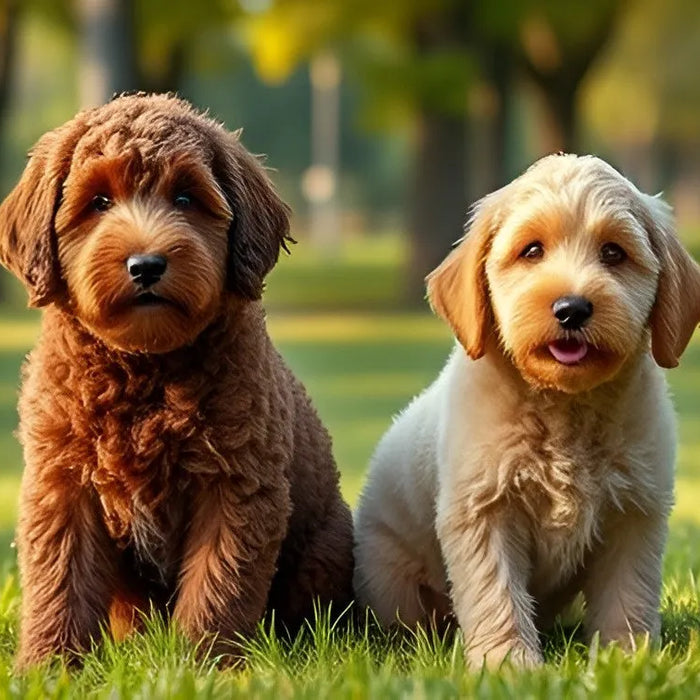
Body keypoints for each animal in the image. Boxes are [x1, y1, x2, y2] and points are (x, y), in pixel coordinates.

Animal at [0, 91, 356, 668]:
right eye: (99, 202)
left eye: (186, 198)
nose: (146, 264)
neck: (144, 369)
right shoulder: (64, 485)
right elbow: (61, 581)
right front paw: (49, 666)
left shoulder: (235, 486)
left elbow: (218, 582)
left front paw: (205, 664)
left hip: (324, 554)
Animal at [356, 153, 700, 668]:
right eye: (531, 251)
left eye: (614, 253)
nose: (572, 308)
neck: (565, 407)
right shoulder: (484, 512)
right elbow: (496, 594)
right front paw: (508, 665)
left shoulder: (635, 514)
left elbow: (628, 593)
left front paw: (624, 657)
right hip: (389, 581)